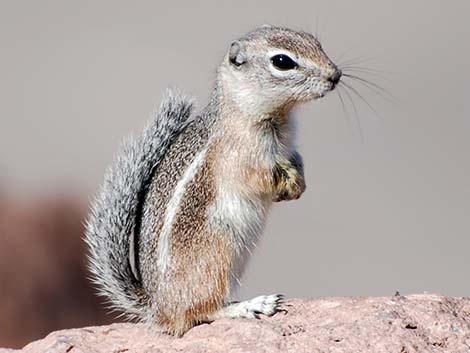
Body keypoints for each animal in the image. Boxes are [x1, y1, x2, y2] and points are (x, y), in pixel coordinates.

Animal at [84, 25, 342, 336]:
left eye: (315, 42)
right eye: (282, 61)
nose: (335, 75)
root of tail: (158, 308)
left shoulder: (291, 148)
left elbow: (298, 161)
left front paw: (299, 184)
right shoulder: (242, 157)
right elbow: (260, 179)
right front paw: (286, 187)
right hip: (217, 254)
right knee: (202, 310)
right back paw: (251, 306)